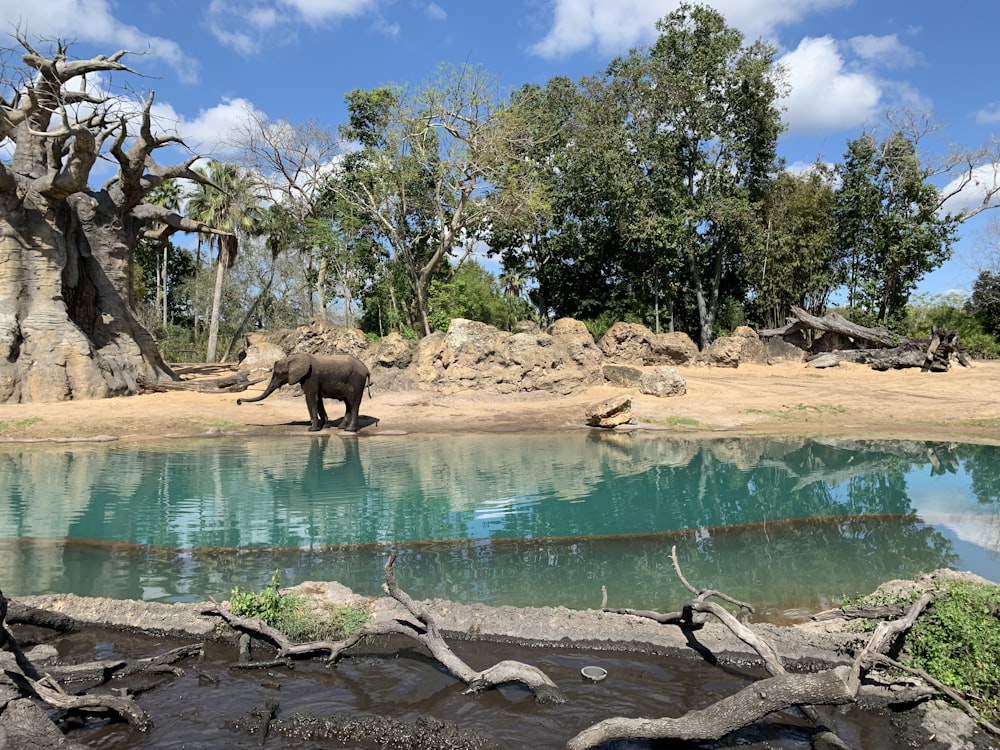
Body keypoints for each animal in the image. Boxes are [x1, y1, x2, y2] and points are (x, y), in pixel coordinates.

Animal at [238, 354, 372, 434]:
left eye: (279, 374)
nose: (238, 401)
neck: (294, 358)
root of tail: (367, 370)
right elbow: (318, 401)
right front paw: (324, 427)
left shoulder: (311, 377)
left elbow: (311, 398)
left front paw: (312, 429)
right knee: (348, 403)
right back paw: (341, 427)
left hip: (356, 380)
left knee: (353, 403)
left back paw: (349, 430)